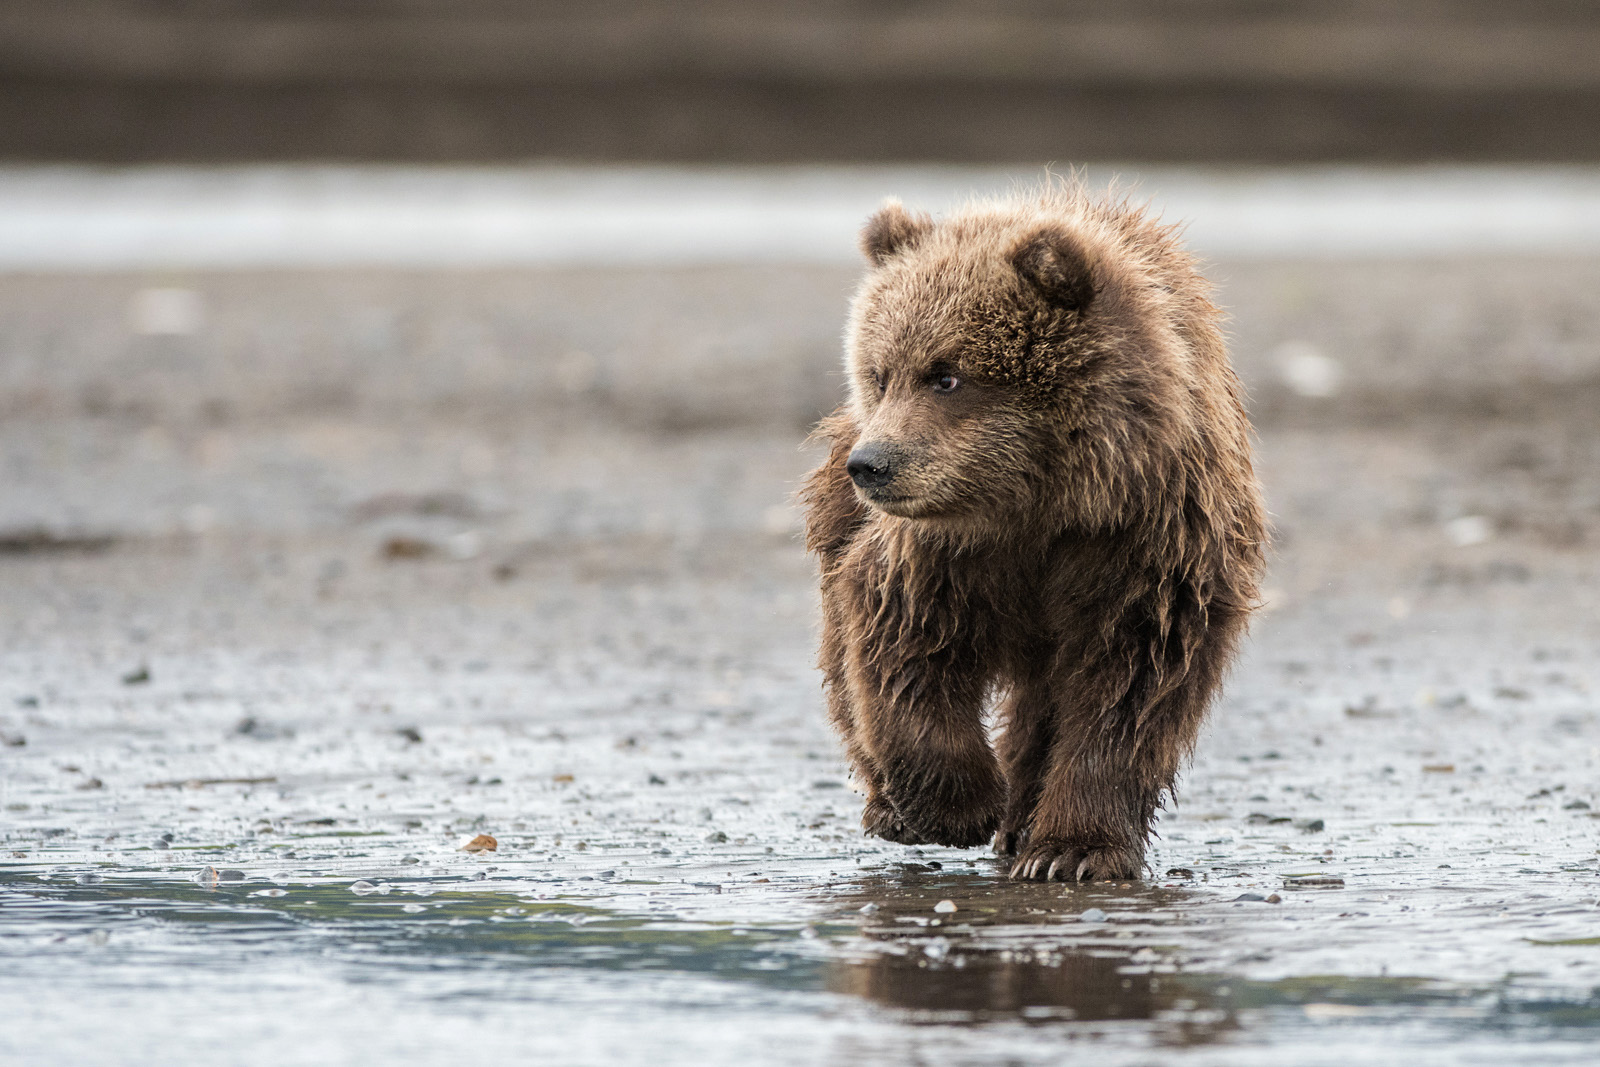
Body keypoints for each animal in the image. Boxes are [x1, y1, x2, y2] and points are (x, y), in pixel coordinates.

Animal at [806, 179, 1267, 883]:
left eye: (946, 375)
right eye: (881, 374)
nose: (872, 464)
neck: (1045, 500)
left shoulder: (1148, 541)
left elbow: (1131, 686)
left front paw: (1072, 849)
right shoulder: (943, 548)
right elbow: (905, 646)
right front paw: (960, 808)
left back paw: (1024, 824)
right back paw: (893, 808)